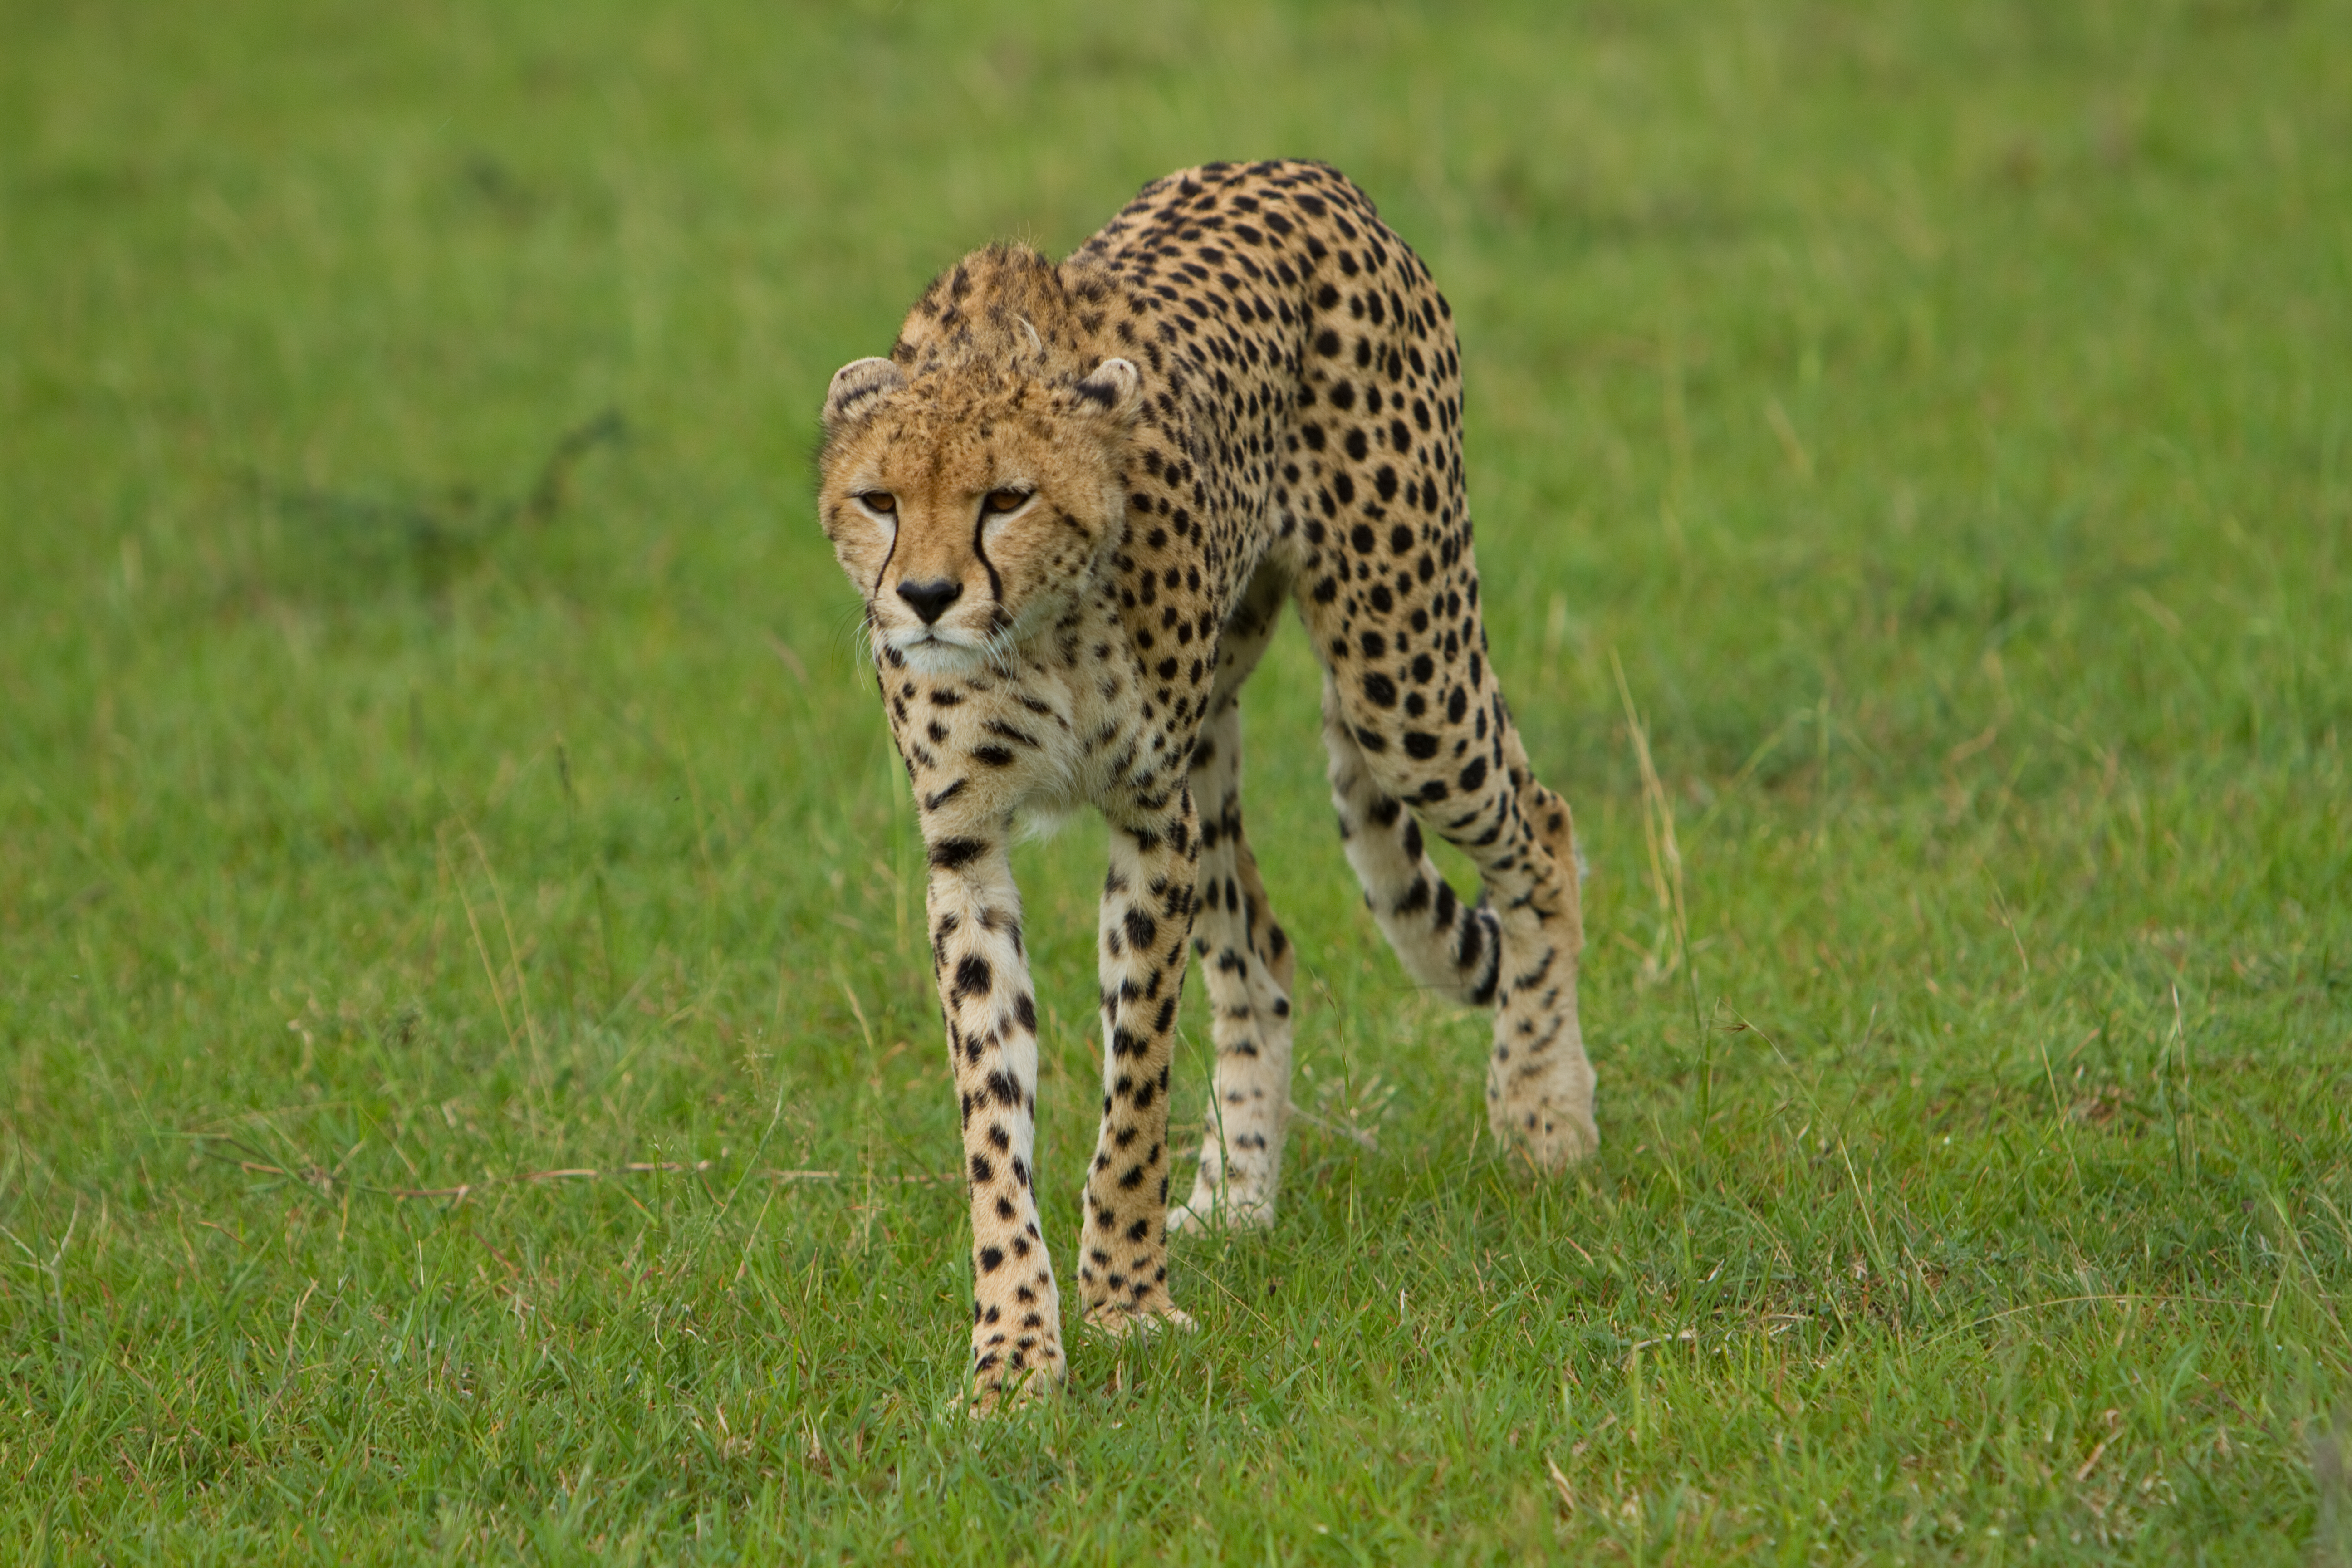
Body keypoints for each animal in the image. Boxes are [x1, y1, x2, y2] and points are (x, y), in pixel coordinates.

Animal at [814, 159, 1596, 1406]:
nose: (927, 598)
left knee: (1541, 825)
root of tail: (1308, 174)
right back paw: (1238, 1193)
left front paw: (1126, 1300)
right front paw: (1014, 1348)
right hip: (1222, 746)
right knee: (1263, 950)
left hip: (1399, 665)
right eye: (879, 499)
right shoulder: (966, 847)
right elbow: (993, 1113)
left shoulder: (1149, 820)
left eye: (1005, 498)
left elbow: (1134, 1081)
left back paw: (1542, 1109)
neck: (1032, 631)